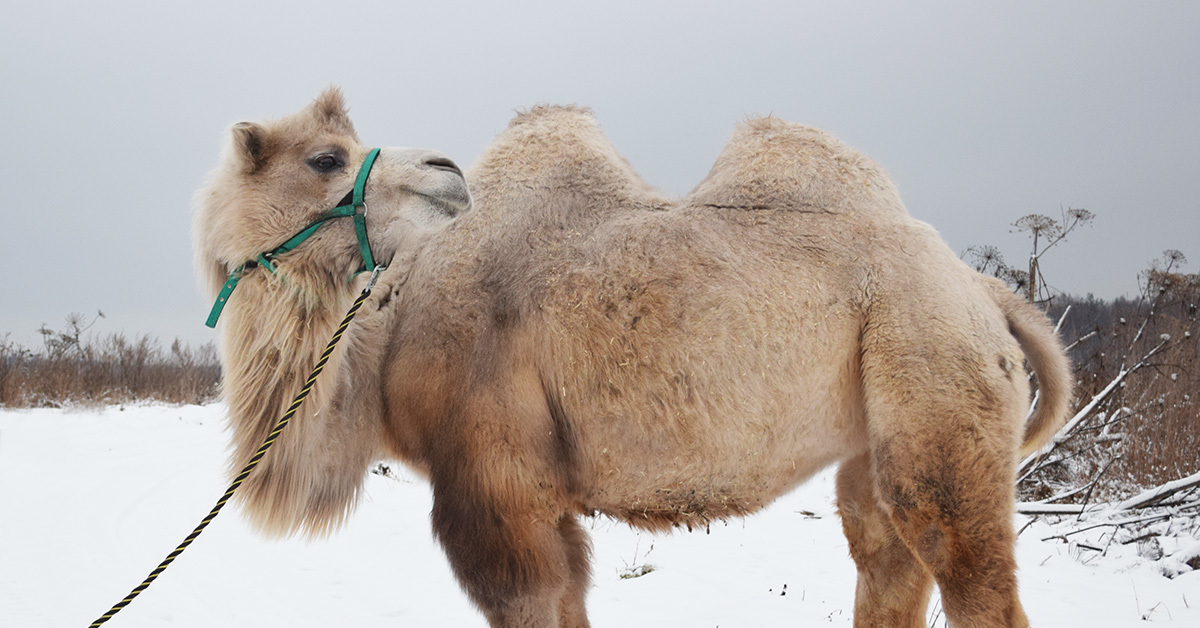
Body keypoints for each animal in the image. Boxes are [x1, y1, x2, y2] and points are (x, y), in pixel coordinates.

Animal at [194, 89, 1070, 628]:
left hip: (936, 369)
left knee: (966, 565)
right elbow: (572, 597)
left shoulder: (492, 480)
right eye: (325, 158)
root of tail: (982, 290)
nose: (447, 172)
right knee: (886, 554)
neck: (391, 328)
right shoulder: (546, 494)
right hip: (880, 425)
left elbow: (529, 597)